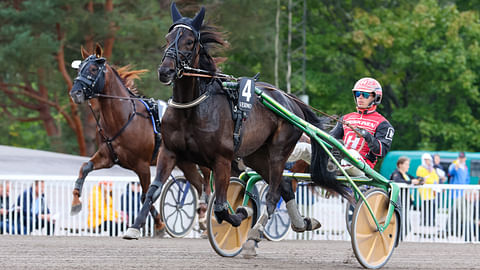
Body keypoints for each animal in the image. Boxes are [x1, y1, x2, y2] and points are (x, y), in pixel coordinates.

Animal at [68, 43, 209, 232]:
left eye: (92, 69)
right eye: (79, 69)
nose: (75, 93)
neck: (125, 118)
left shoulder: (142, 165)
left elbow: (145, 195)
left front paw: (158, 224)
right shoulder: (108, 157)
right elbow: (85, 167)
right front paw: (76, 202)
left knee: (208, 182)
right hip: (184, 162)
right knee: (198, 183)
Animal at [123, 3, 348, 255]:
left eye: (190, 41)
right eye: (168, 38)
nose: (165, 71)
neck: (193, 109)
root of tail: (291, 100)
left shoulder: (221, 160)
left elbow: (221, 207)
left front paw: (242, 213)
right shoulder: (170, 152)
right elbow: (153, 190)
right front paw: (134, 228)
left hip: (279, 152)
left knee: (273, 194)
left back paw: (254, 235)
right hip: (256, 156)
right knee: (284, 188)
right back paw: (302, 223)